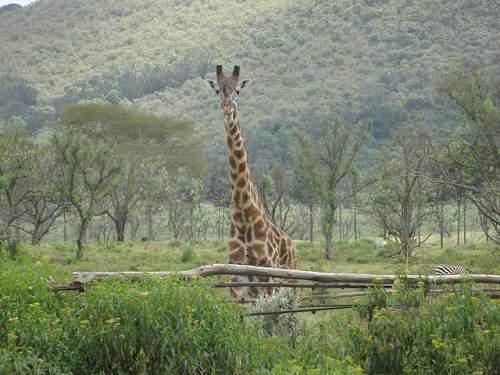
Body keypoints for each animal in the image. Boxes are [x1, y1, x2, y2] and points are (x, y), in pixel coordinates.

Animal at [207, 64, 296, 300]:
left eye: (238, 90)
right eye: (217, 90)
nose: (227, 109)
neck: (244, 214)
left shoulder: (267, 275)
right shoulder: (236, 279)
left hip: (291, 284)